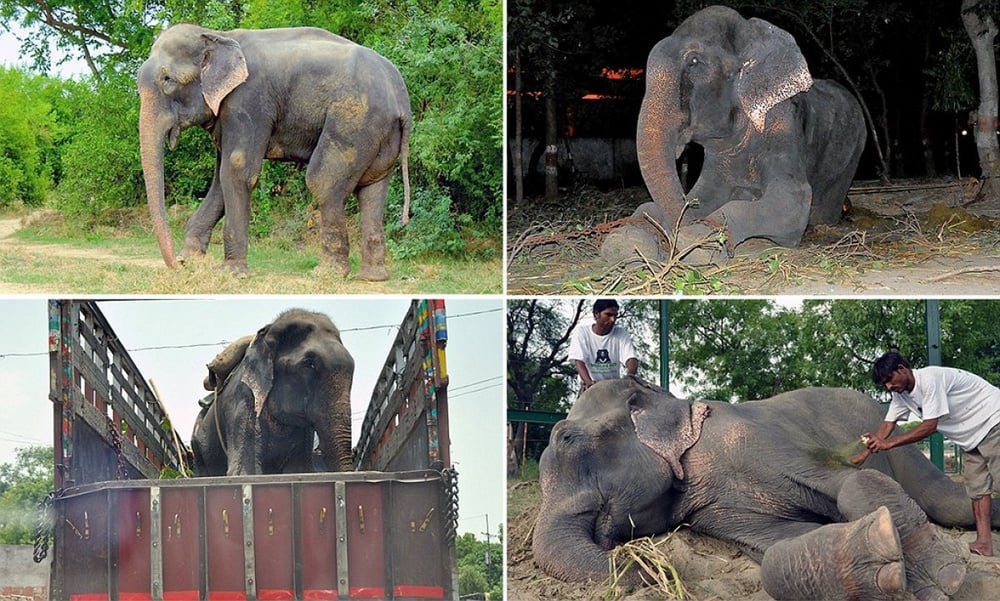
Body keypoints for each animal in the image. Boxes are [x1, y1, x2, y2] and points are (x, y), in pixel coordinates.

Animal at [137, 24, 410, 280]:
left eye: (168, 80)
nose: (175, 265)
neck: (218, 35)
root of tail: (402, 99)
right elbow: (220, 181)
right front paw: (190, 260)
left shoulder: (247, 101)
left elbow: (237, 170)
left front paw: (232, 273)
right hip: (380, 134)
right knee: (372, 190)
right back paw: (372, 277)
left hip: (355, 120)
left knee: (322, 182)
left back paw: (326, 274)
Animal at [532, 378, 1000, 596]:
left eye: (566, 438)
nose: (646, 569)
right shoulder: (713, 510)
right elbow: (776, 546)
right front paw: (886, 563)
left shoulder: (759, 439)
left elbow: (850, 479)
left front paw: (946, 580)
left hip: (903, 447)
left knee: (950, 503)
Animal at [600, 5, 868, 264]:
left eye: (694, 61)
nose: (671, 241)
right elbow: (701, 195)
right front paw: (625, 240)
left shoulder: (782, 123)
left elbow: (791, 200)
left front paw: (699, 241)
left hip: (854, 151)